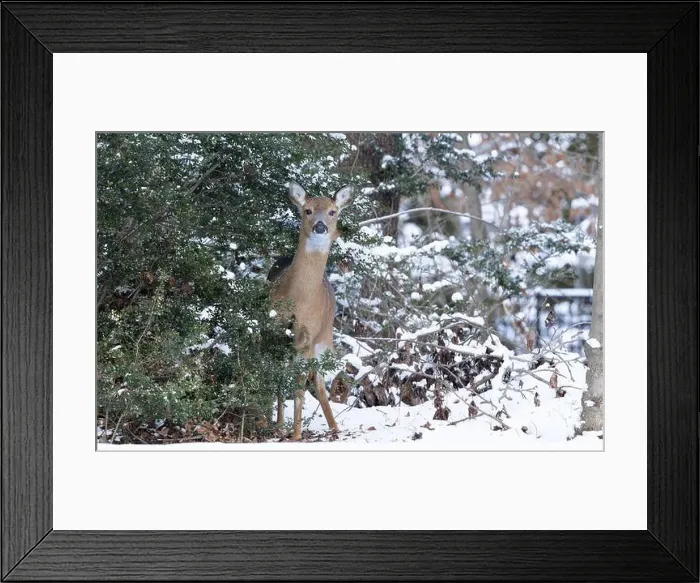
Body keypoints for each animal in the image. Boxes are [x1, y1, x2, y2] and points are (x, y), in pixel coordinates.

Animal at [267, 181, 354, 441]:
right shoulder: (273, 328)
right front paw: (278, 427)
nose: (320, 226)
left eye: (332, 211)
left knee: (319, 381)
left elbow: (299, 385)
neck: (301, 299)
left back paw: (335, 427)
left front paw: (296, 435)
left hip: (325, 338)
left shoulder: (307, 334)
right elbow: (274, 376)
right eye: (307, 210)